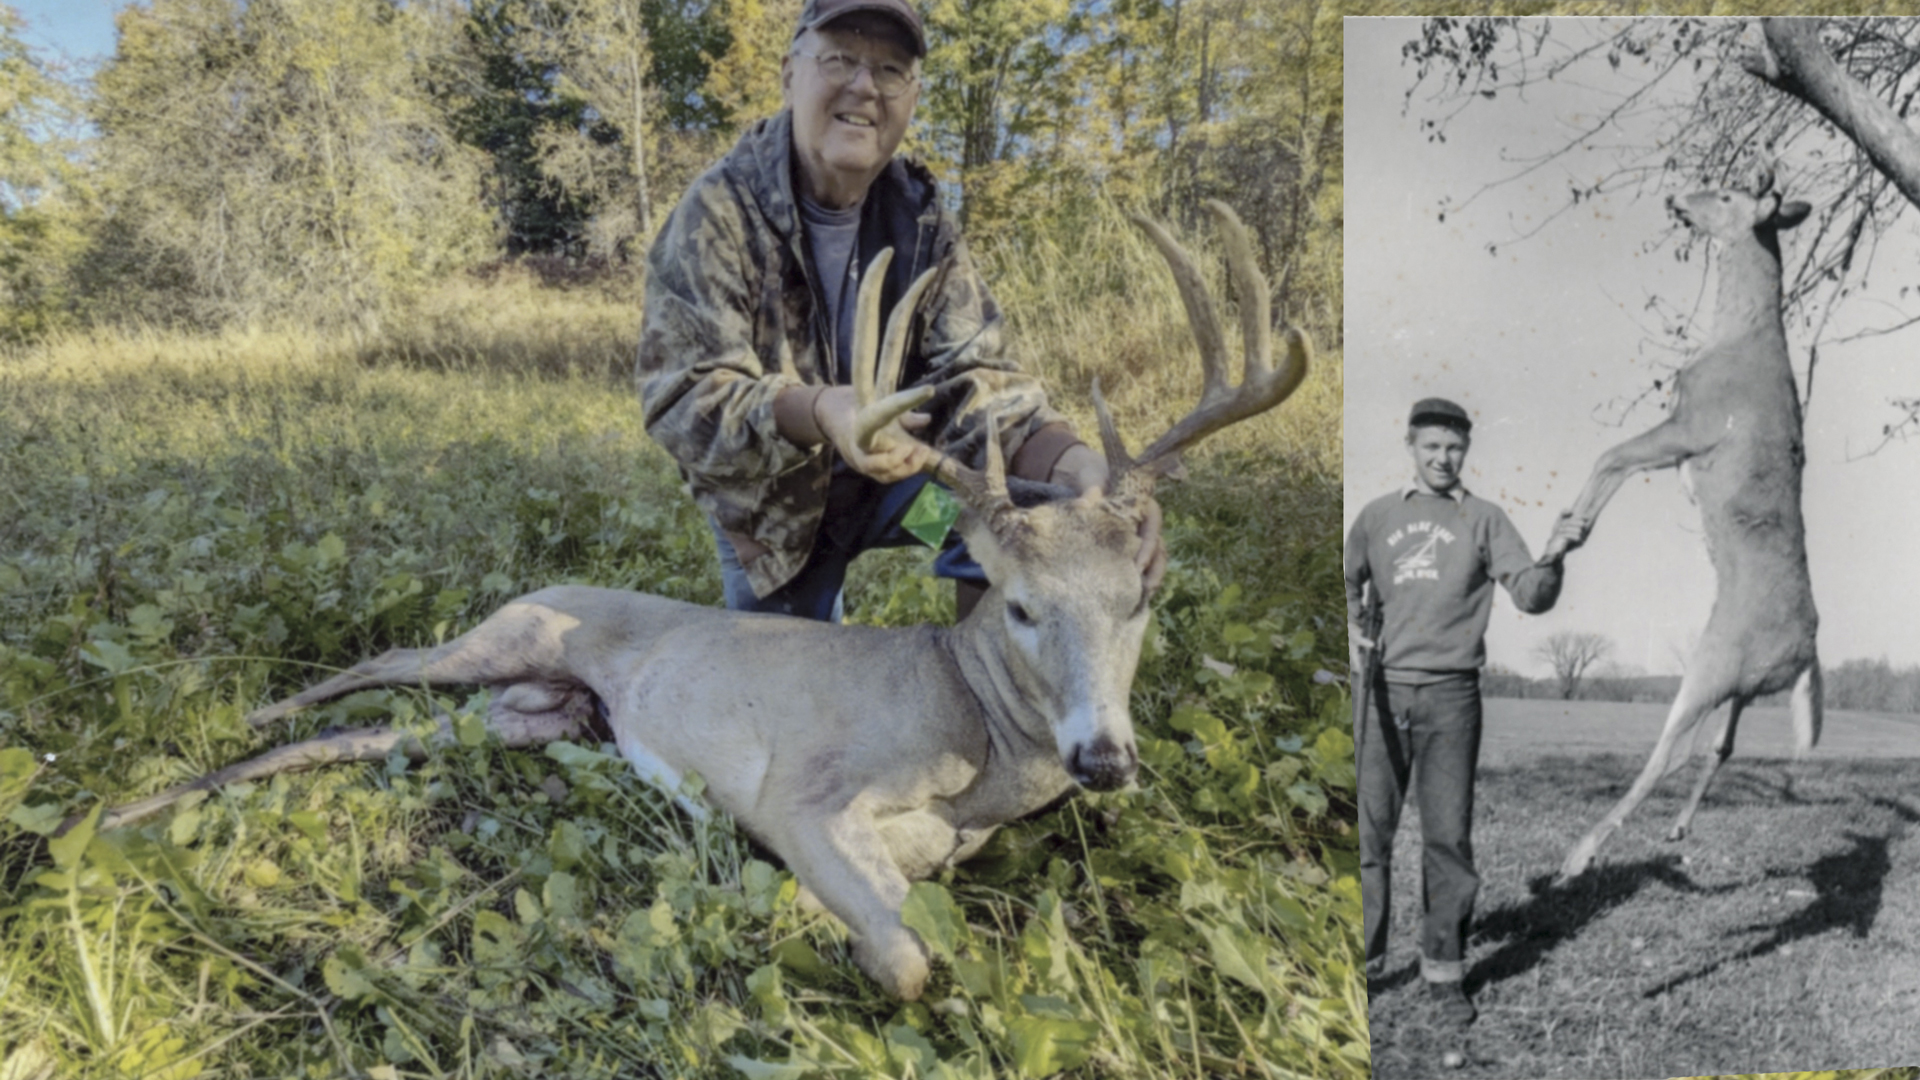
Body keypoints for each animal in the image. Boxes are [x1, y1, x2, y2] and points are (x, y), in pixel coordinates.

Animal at [65, 201, 1310, 1001]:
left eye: (1139, 600)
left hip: (530, 716)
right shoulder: (807, 791)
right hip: (503, 636)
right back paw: (218, 729)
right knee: (373, 666)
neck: (974, 740)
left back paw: (137, 805)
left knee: (368, 734)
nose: (1105, 759)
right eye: (1015, 605)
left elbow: (909, 918)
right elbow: (910, 960)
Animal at [1543, 167, 1821, 884]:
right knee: (1722, 745)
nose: (1677, 196)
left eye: (1726, 195)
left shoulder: (1694, 425)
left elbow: (1610, 454)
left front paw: (1562, 538)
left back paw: (1581, 854)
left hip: (1713, 662)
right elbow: (1615, 461)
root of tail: (1806, 652)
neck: (1738, 336)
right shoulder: (1679, 436)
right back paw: (1677, 828)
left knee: (1673, 750)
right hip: (1745, 683)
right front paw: (1567, 533)